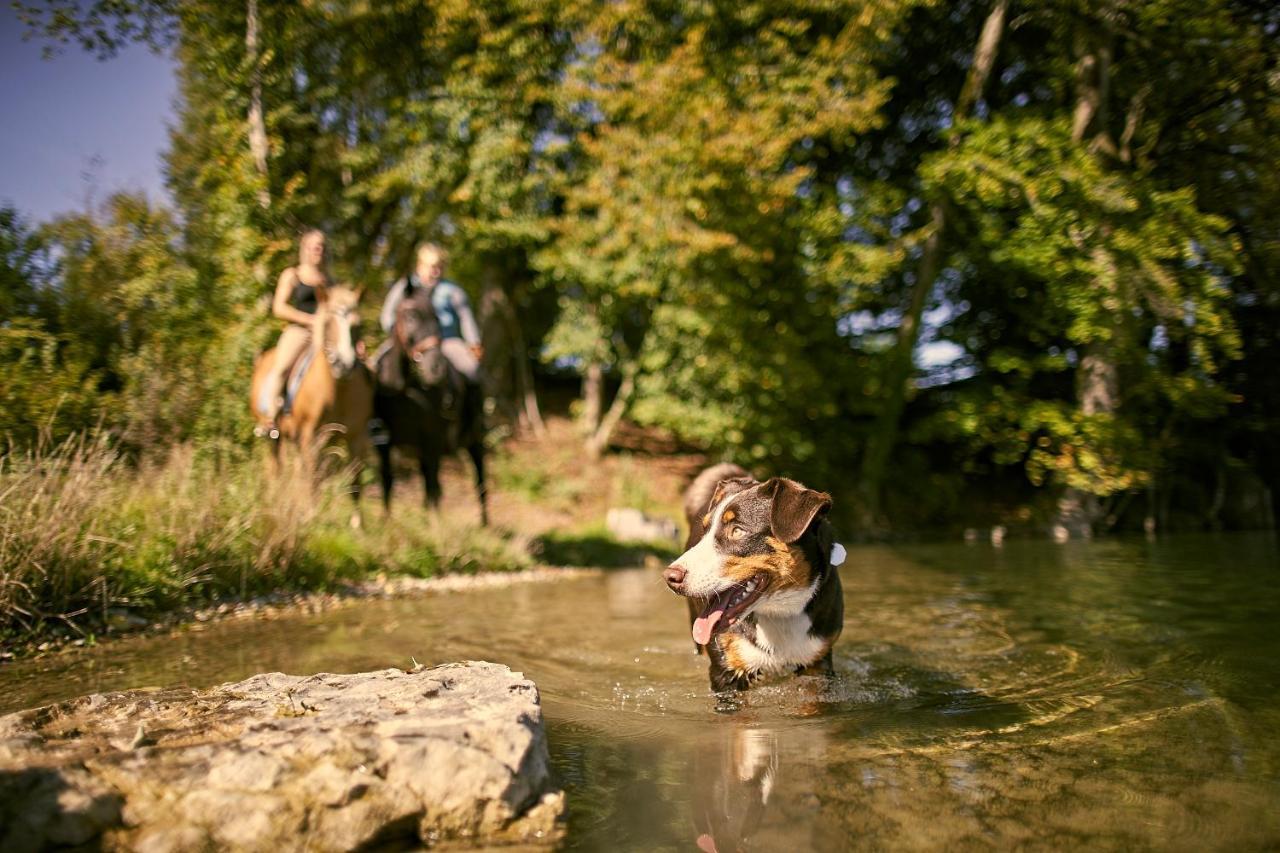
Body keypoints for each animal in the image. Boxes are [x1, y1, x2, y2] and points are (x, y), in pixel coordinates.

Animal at [247, 285, 373, 522]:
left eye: (358, 325)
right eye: (328, 323)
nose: (344, 365)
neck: (337, 390)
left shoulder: (357, 437)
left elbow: (355, 481)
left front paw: (357, 523)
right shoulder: (311, 436)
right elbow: (314, 478)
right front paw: (312, 517)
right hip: (276, 437)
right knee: (277, 469)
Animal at [373, 289, 488, 522]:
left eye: (437, 317)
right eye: (411, 316)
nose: (436, 368)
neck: (403, 389)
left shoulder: (432, 440)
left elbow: (432, 486)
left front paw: (433, 525)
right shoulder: (384, 444)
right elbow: (388, 480)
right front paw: (387, 521)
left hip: (474, 439)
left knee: (479, 480)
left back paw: (484, 523)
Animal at [665, 466, 844, 691]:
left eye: (737, 531)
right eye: (705, 531)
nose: (670, 576)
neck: (780, 612)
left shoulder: (818, 662)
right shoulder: (726, 669)